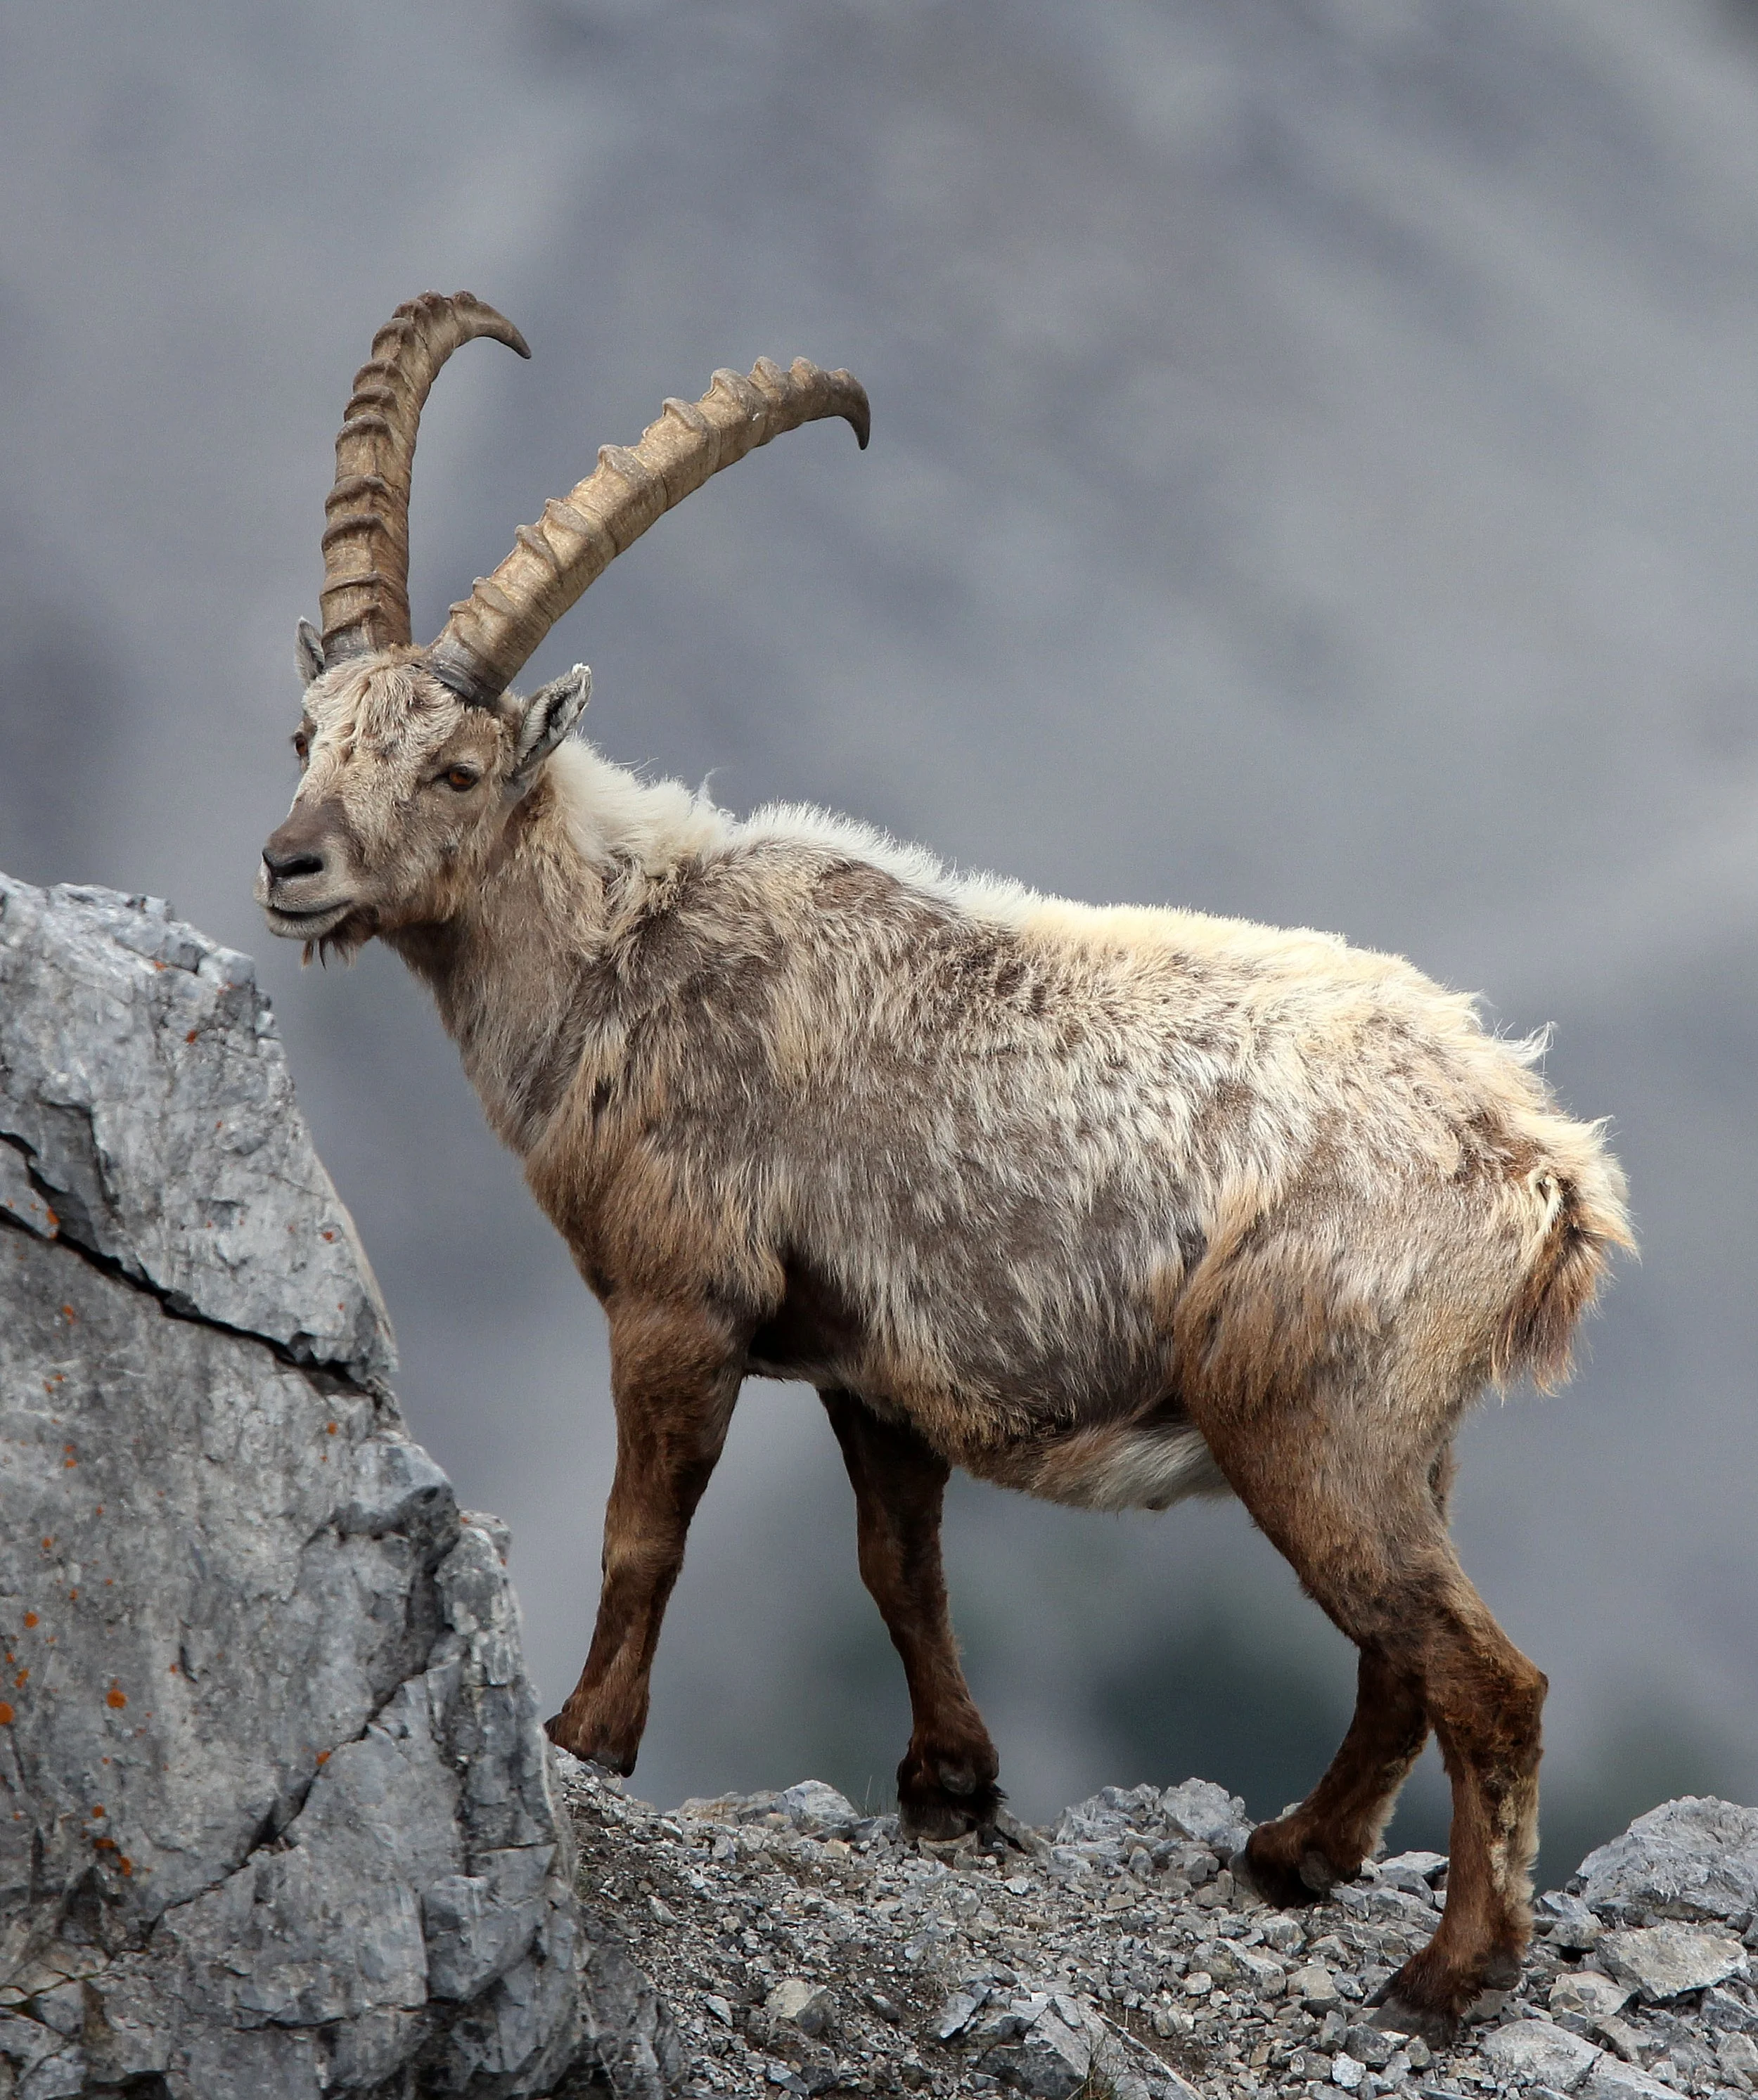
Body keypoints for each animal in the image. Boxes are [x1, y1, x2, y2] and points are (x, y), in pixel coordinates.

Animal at [258, 293, 1630, 2044]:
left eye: (450, 767)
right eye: (311, 734)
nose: (290, 862)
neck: (626, 953)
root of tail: (1540, 1167)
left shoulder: (681, 1300)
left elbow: (647, 1529)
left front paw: (585, 1735)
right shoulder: (872, 1365)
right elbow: (896, 1564)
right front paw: (949, 1783)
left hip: (1303, 1413)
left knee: (1482, 1674)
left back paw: (1445, 1968)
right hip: (1391, 1439)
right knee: (1401, 1657)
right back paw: (1291, 1853)